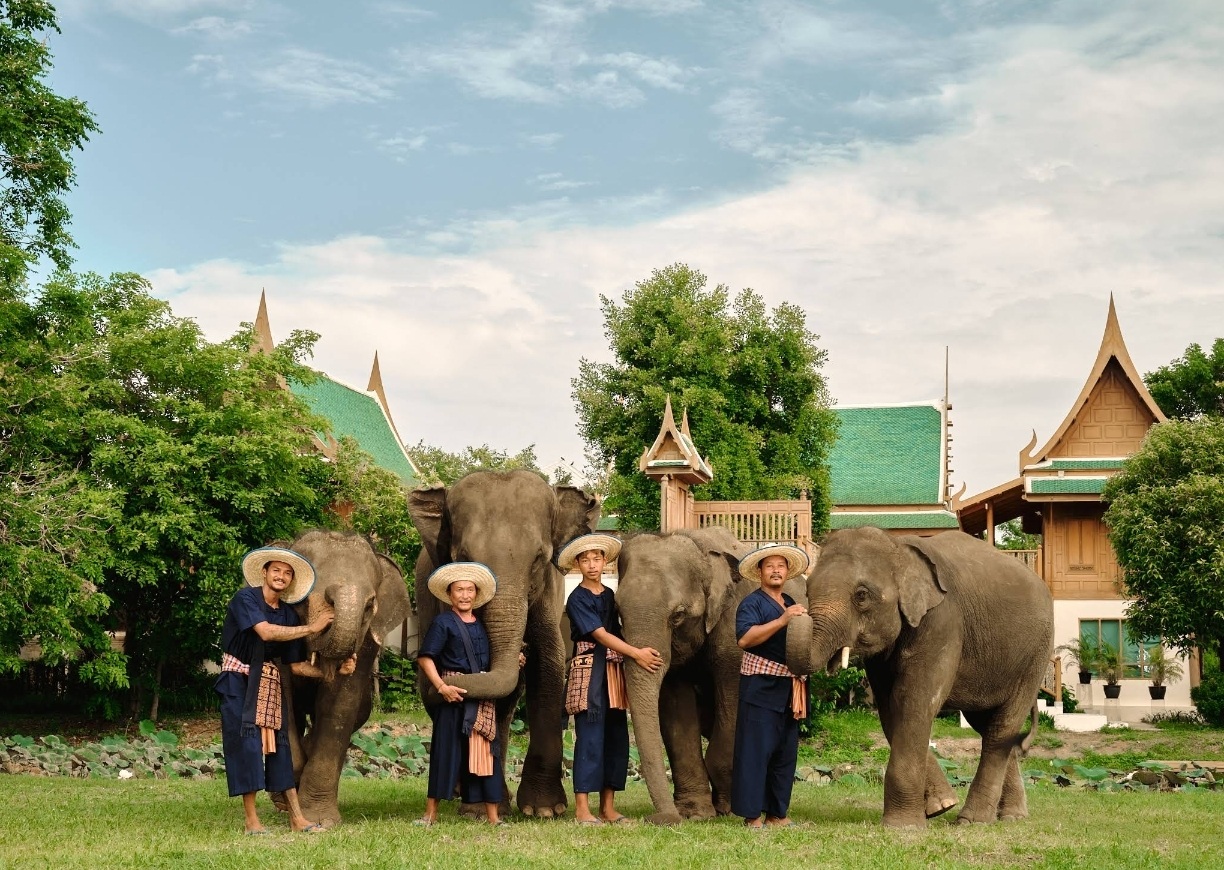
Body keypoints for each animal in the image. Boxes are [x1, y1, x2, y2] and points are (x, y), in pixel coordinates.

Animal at [408, 469, 600, 818]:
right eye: (463, 559)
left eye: (539, 559)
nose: (521, 650)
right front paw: (481, 809)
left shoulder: (549, 593)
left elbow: (549, 664)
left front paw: (544, 810)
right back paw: (465, 795)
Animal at [616, 526, 807, 825]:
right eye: (618, 613)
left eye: (678, 615)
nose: (659, 819)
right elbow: (677, 709)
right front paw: (694, 813)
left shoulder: (733, 626)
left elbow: (734, 700)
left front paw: (729, 809)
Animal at [786, 527, 1053, 827]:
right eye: (808, 590)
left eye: (862, 595)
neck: (898, 547)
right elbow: (891, 708)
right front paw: (940, 806)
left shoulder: (943, 621)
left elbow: (914, 701)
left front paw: (904, 826)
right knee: (987, 726)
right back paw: (1011, 817)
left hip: (1036, 654)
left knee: (1001, 729)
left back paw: (972, 820)